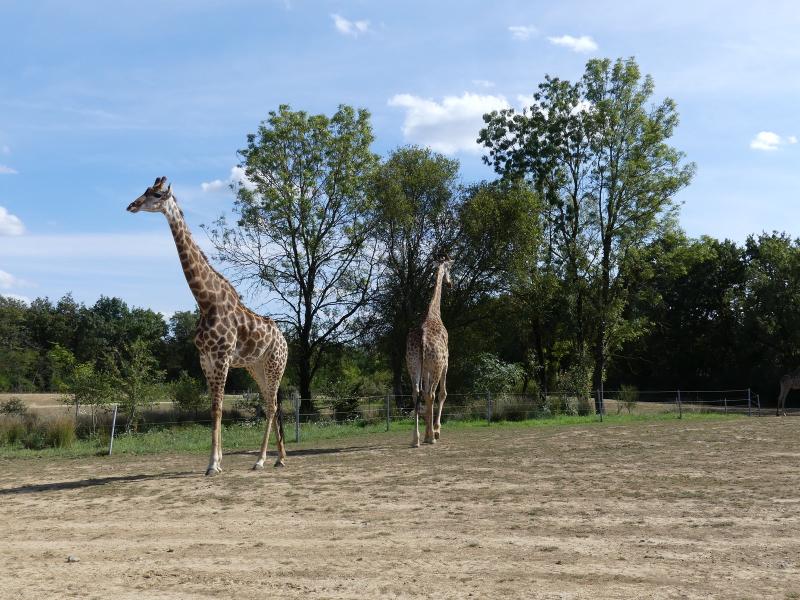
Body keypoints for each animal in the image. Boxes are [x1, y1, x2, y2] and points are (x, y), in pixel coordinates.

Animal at [127, 177, 288, 475]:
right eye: (144, 191)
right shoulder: (205, 359)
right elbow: (213, 408)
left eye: (156, 195)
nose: (131, 205)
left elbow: (217, 408)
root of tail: (285, 340)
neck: (205, 301)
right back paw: (280, 457)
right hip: (255, 367)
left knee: (271, 405)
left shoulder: (222, 357)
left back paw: (261, 459)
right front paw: (218, 460)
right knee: (270, 403)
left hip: (275, 365)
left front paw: (213, 464)